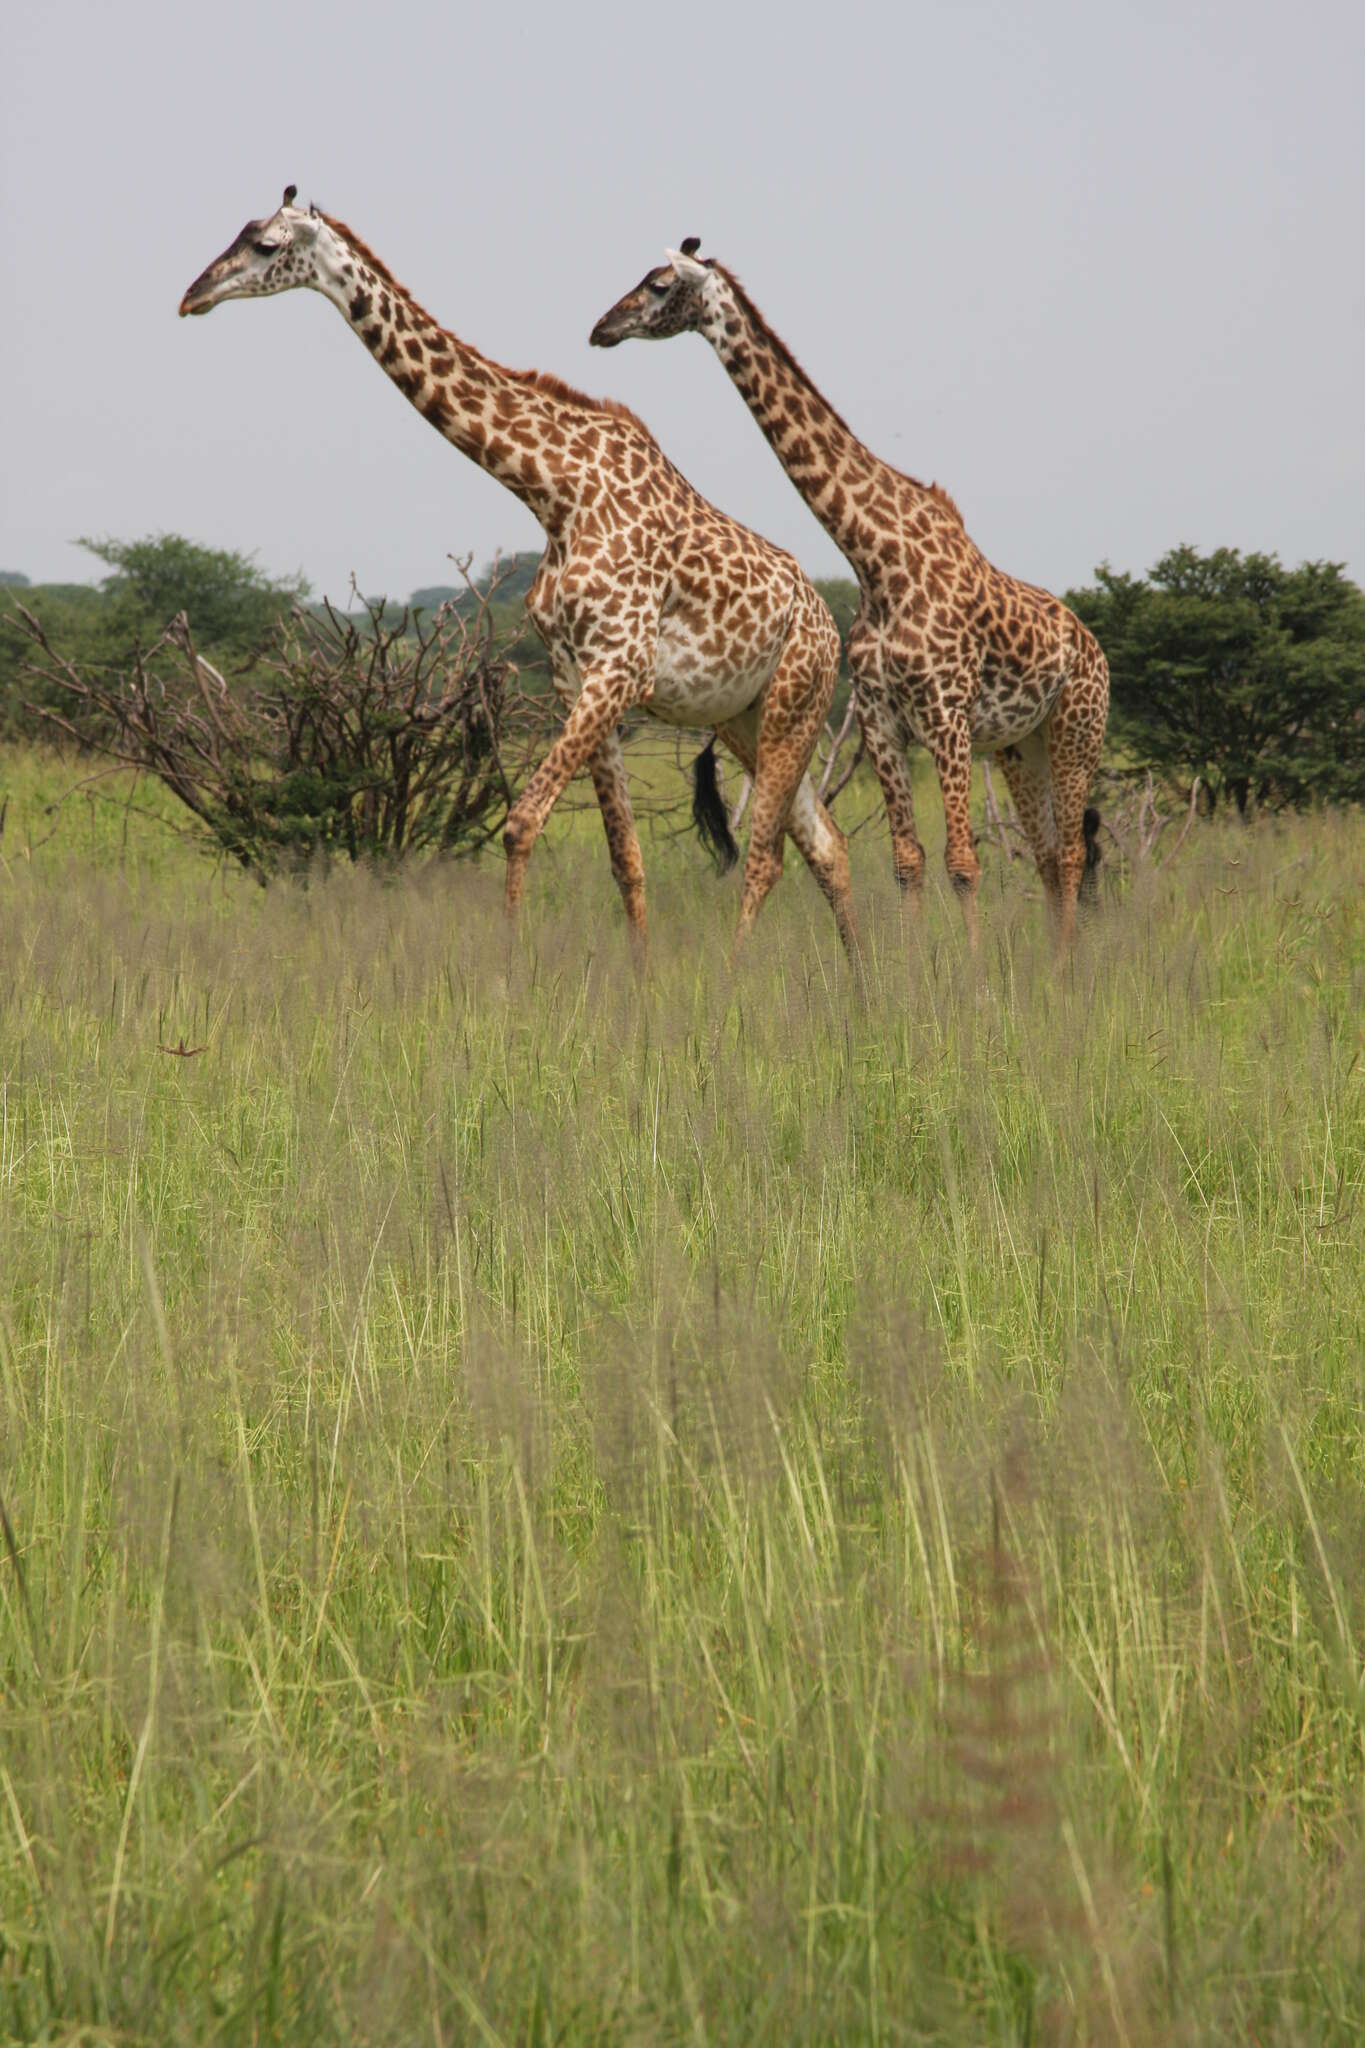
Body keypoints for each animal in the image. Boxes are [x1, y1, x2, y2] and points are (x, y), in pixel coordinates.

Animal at [175, 188, 859, 970]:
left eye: (263, 245)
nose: (193, 295)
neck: (552, 492)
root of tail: (829, 623)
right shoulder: (576, 674)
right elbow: (625, 857)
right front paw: (641, 979)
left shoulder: (619, 668)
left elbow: (521, 820)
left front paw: (509, 972)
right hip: (743, 715)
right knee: (827, 844)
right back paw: (860, 982)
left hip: (793, 702)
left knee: (770, 855)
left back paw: (740, 971)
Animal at [593, 243, 1113, 946]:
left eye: (658, 284)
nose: (602, 328)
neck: (876, 559)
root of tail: (1097, 654)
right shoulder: (880, 717)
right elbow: (907, 862)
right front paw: (920, 969)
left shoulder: (946, 713)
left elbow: (963, 863)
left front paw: (974, 974)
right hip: (1019, 747)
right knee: (1052, 856)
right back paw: (1058, 965)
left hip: (1077, 733)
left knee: (1074, 852)